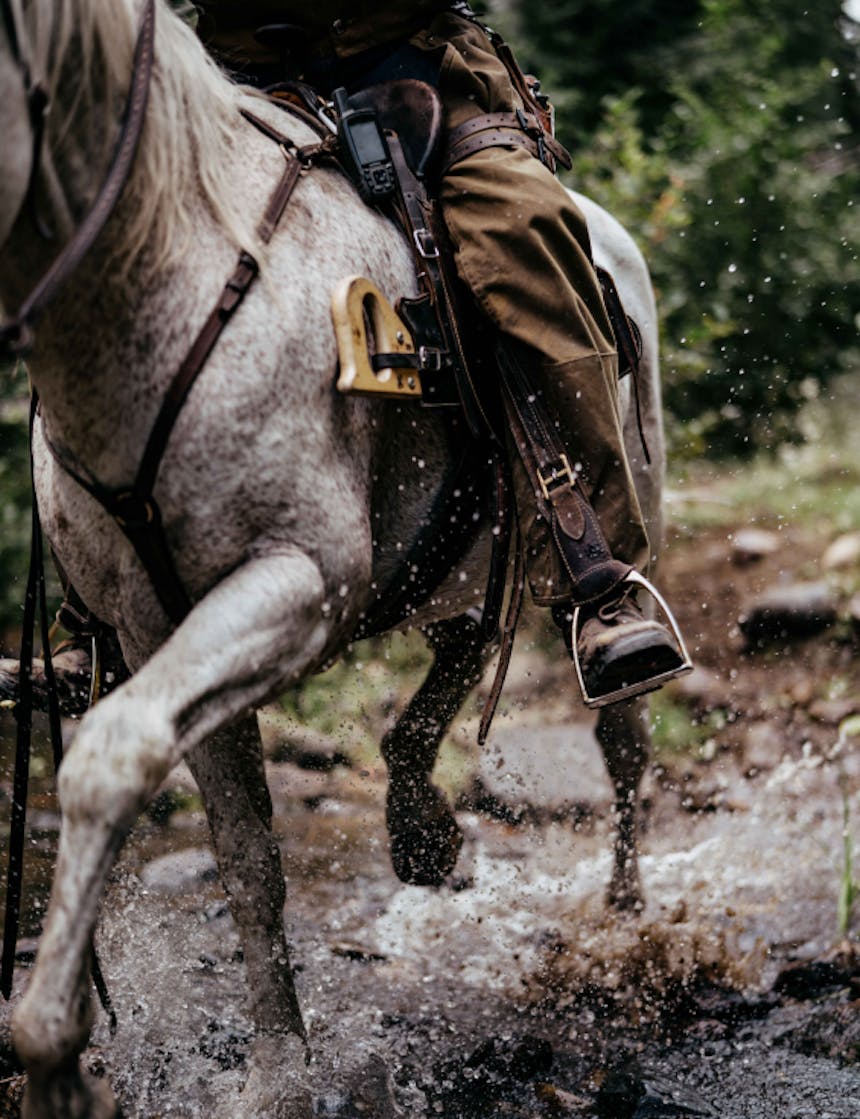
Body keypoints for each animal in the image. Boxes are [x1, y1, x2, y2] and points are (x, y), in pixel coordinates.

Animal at [0, 4, 662, 1114]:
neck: (168, 266)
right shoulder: (157, 626)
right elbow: (245, 861)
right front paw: (277, 1072)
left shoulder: (296, 588)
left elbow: (109, 757)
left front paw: (56, 1061)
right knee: (463, 644)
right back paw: (420, 825)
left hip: (619, 518)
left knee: (620, 732)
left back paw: (628, 920)